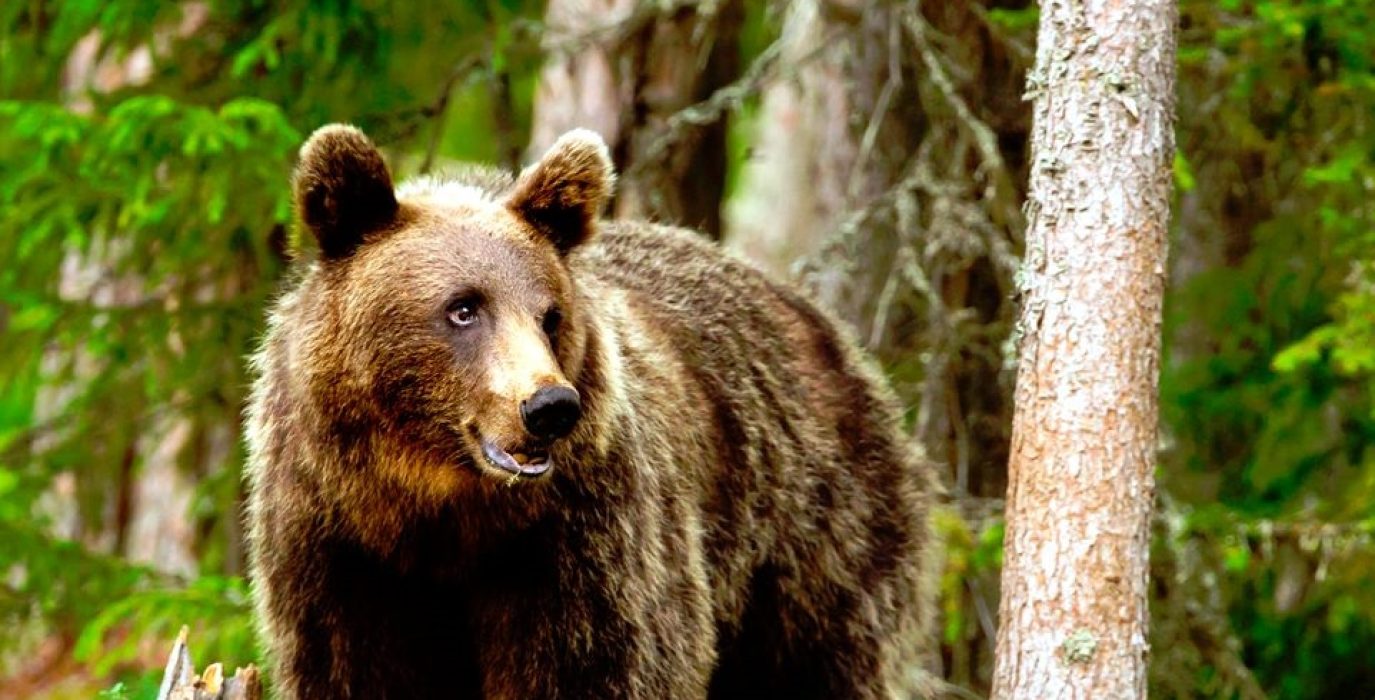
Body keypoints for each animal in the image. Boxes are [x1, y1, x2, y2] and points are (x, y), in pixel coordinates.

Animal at [245, 124, 936, 699]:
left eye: (549, 315)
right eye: (463, 308)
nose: (549, 406)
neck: (435, 506)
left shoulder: (578, 544)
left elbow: (601, 663)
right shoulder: (336, 551)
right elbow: (353, 667)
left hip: (814, 536)